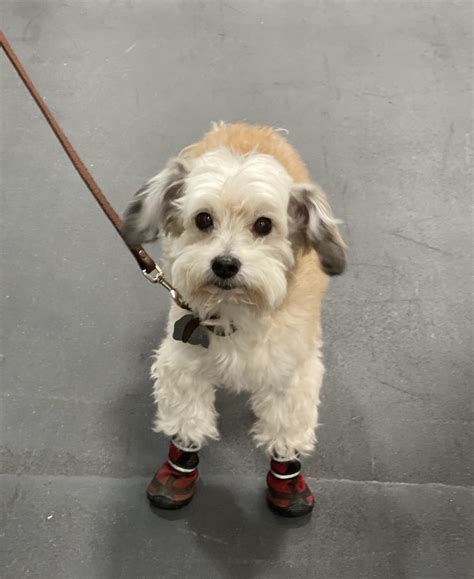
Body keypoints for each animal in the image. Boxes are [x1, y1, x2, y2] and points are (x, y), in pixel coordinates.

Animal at [122, 122, 344, 516]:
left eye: (264, 225)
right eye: (203, 219)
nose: (225, 264)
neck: (237, 307)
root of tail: (248, 126)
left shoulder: (294, 372)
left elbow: (285, 429)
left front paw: (287, 475)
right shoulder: (181, 362)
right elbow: (186, 422)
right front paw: (179, 469)